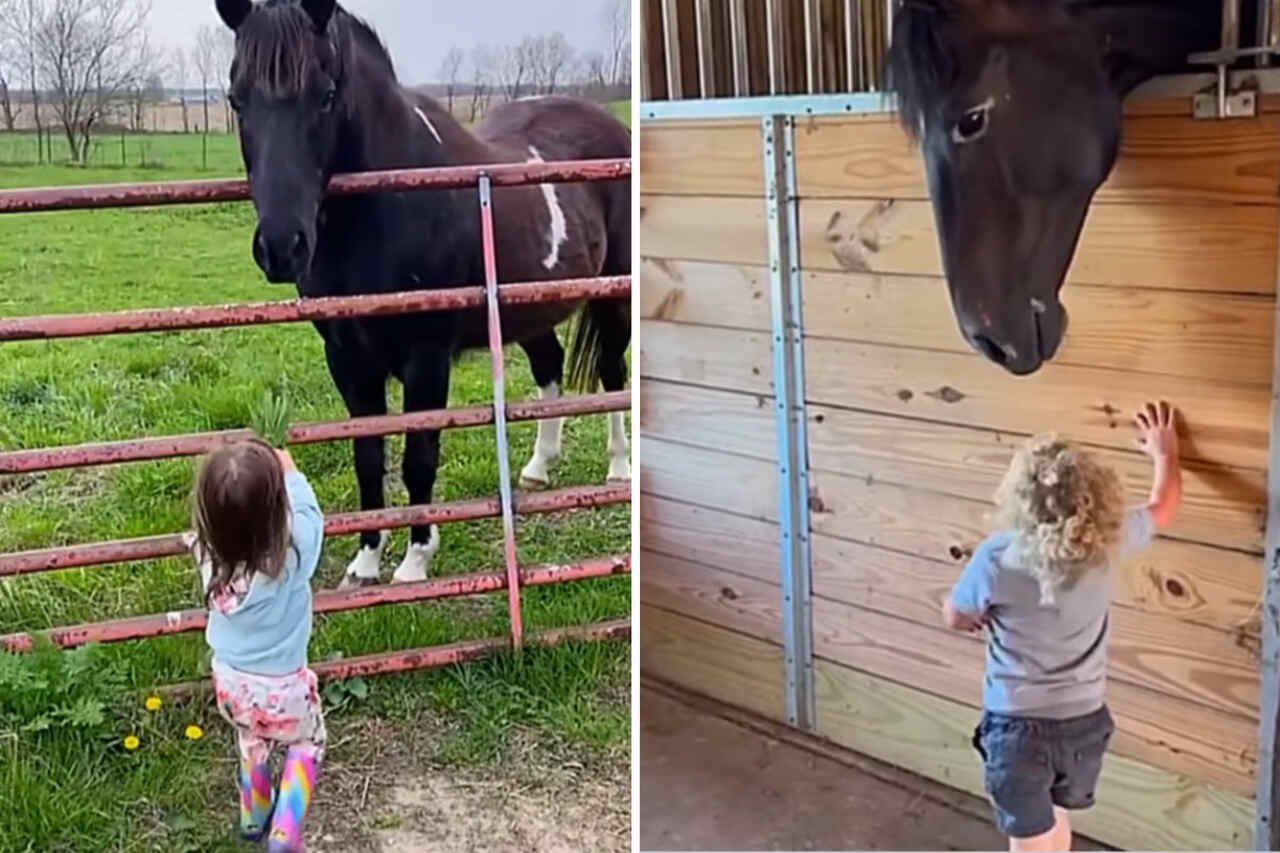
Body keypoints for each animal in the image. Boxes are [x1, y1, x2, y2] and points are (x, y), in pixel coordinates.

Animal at [216, 0, 634, 584]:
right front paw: (366, 561)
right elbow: (368, 457)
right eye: (237, 98)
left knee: (612, 373)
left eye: (325, 94)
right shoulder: (347, 359)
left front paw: (415, 562)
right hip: (528, 308)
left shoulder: (426, 357)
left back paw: (619, 468)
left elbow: (419, 456)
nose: (281, 246)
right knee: (550, 367)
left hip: (613, 296)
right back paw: (537, 468)